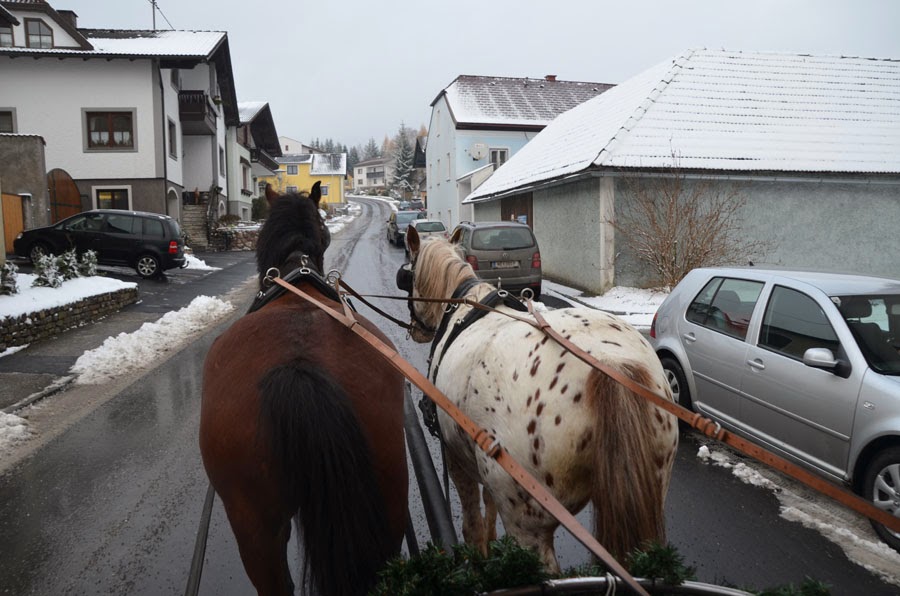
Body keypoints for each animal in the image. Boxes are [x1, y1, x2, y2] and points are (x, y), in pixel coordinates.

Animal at [401, 226, 678, 573]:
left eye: (407, 274)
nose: (415, 330)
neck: (463, 308)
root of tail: (611, 365)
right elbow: (489, 505)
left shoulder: (456, 457)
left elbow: (472, 523)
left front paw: (479, 556)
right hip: (650, 488)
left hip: (528, 522)